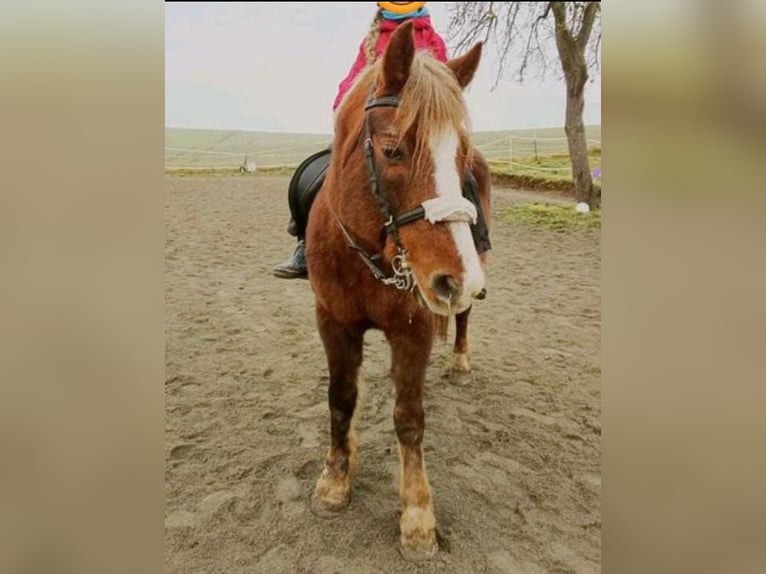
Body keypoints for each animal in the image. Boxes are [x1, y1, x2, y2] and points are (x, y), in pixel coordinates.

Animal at [304, 21, 489, 561]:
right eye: (392, 151)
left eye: (461, 156)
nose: (455, 279)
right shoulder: (333, 321)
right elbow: (341, 397)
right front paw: (335, 478)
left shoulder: (414, 330)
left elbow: (409, 417)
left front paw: (418, 516)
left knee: (464, 319)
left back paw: (461, 360)